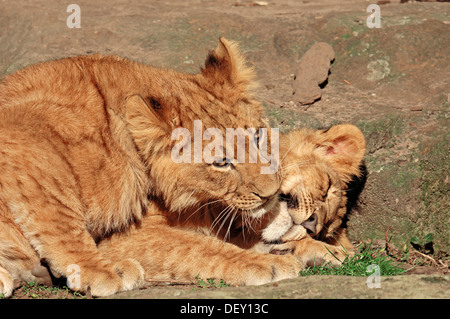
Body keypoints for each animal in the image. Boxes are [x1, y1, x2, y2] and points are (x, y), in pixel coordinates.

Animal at [0, 39, 302, 298]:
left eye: (258, 136)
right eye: (221, 163)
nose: (271, 193)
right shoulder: (22, 134)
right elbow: (198, 248)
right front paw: (268, 263)